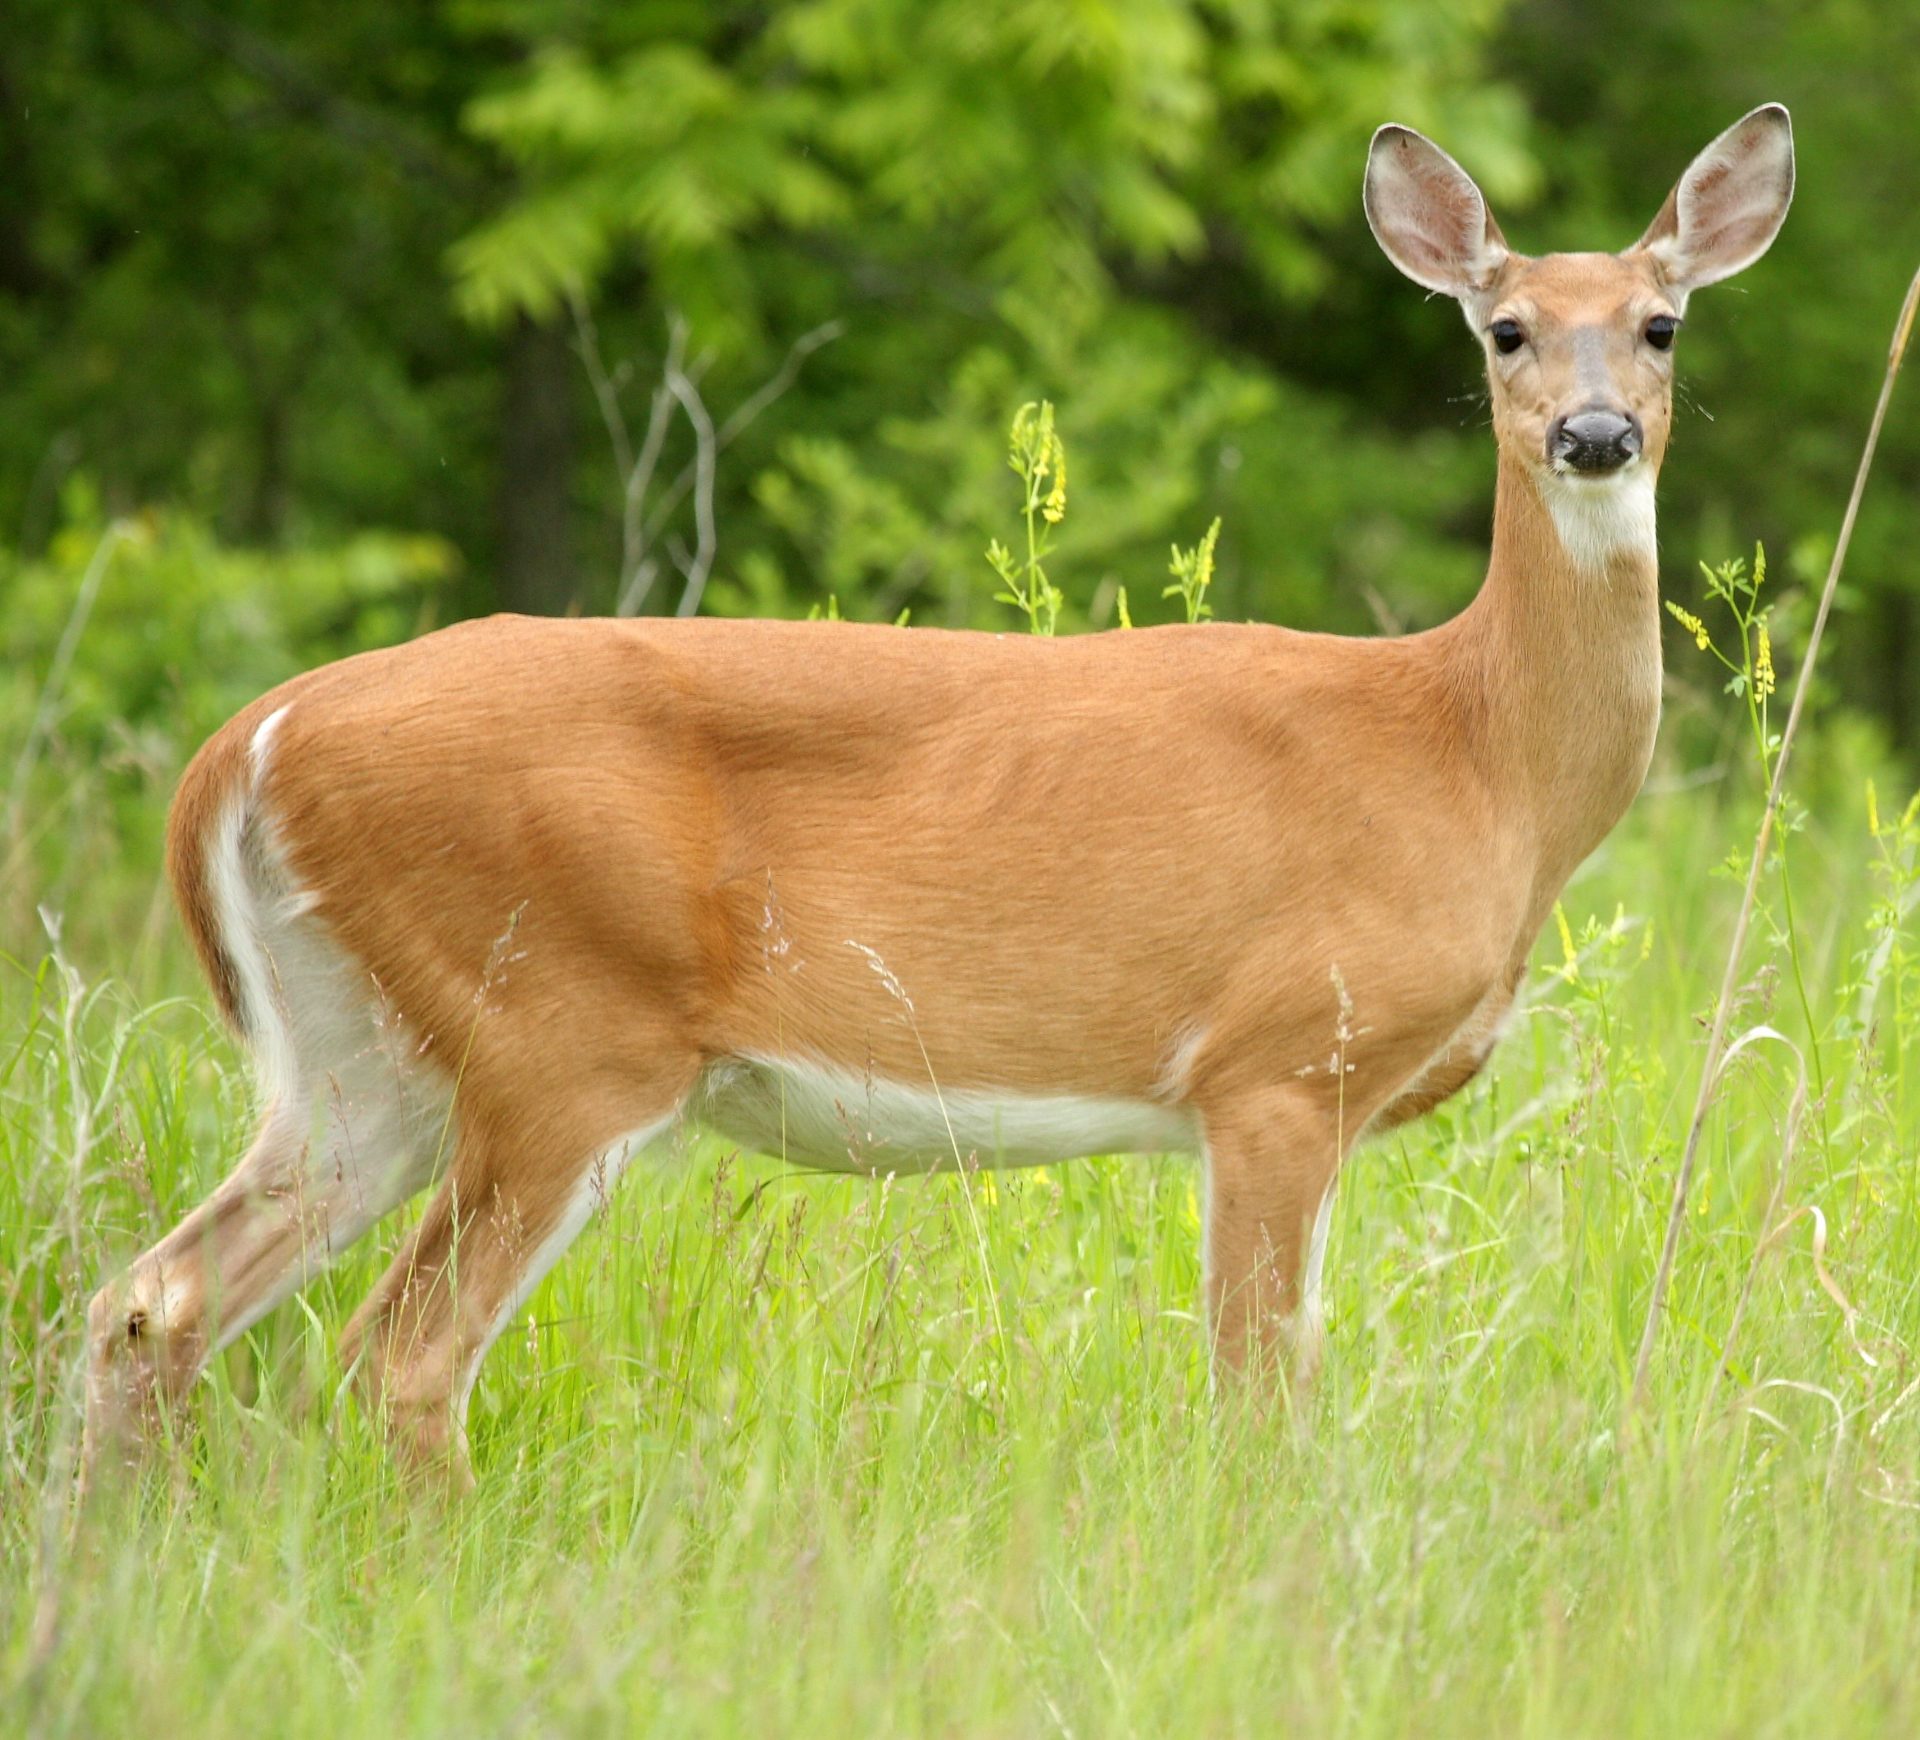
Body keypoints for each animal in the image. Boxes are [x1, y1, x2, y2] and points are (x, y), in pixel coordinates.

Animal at [82, 105, 1797, 1474]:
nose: (1592, 433)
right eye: (1504, 329)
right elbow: (1261, 1393)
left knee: (153, 1299)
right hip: (557, 1028)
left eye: (1661, 324)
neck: (1468, 750)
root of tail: (252, 739)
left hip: (361, 1049)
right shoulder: (1277, 1062)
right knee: (400, 1353)